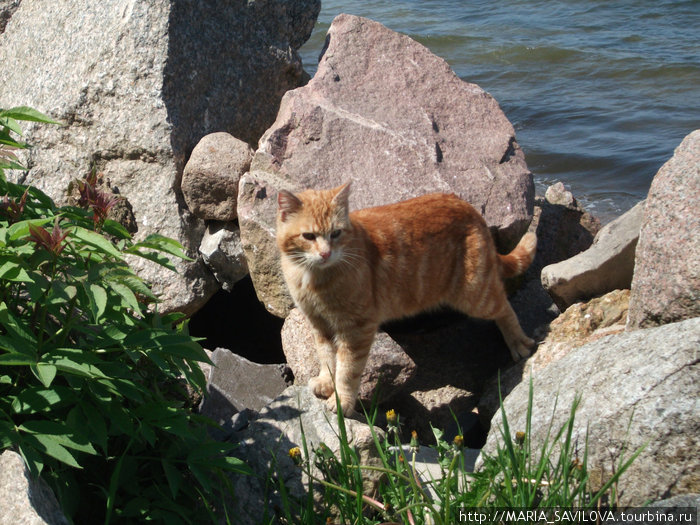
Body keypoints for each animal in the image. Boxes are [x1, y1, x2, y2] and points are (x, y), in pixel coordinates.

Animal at [274, 183, 536, 414]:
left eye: (336, 233)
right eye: (309, 236)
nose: (326, 253)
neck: (312, 277)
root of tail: (469, 207)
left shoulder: (357, 329)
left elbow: (347, 371)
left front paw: (342, 402)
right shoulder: (319, 325)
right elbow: (326, 357)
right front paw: (327, 383)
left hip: (474, 294)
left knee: (505, 307)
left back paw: (518, 342)